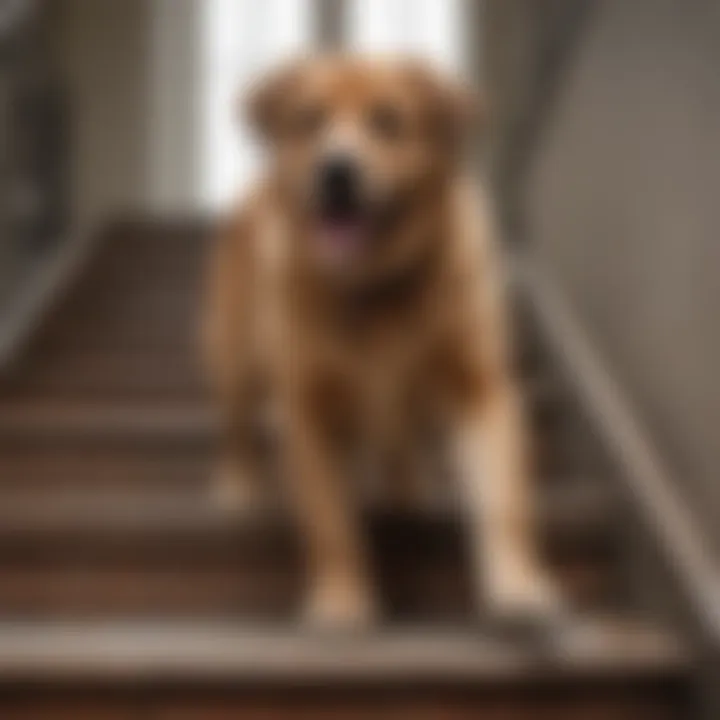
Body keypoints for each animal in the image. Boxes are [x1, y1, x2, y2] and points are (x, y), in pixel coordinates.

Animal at [200, 56, 560, 628]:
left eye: (388, 121)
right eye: (309, 120)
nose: (336, 171)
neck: (373, 289)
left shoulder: (480, 389)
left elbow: (504, 501)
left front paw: (518, 586)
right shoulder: (309, 409)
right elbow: (330, 524)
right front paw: (341, 598)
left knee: (399, 448)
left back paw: (406, 495)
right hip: (231, 360)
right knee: (236, 432)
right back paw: (238, 488)